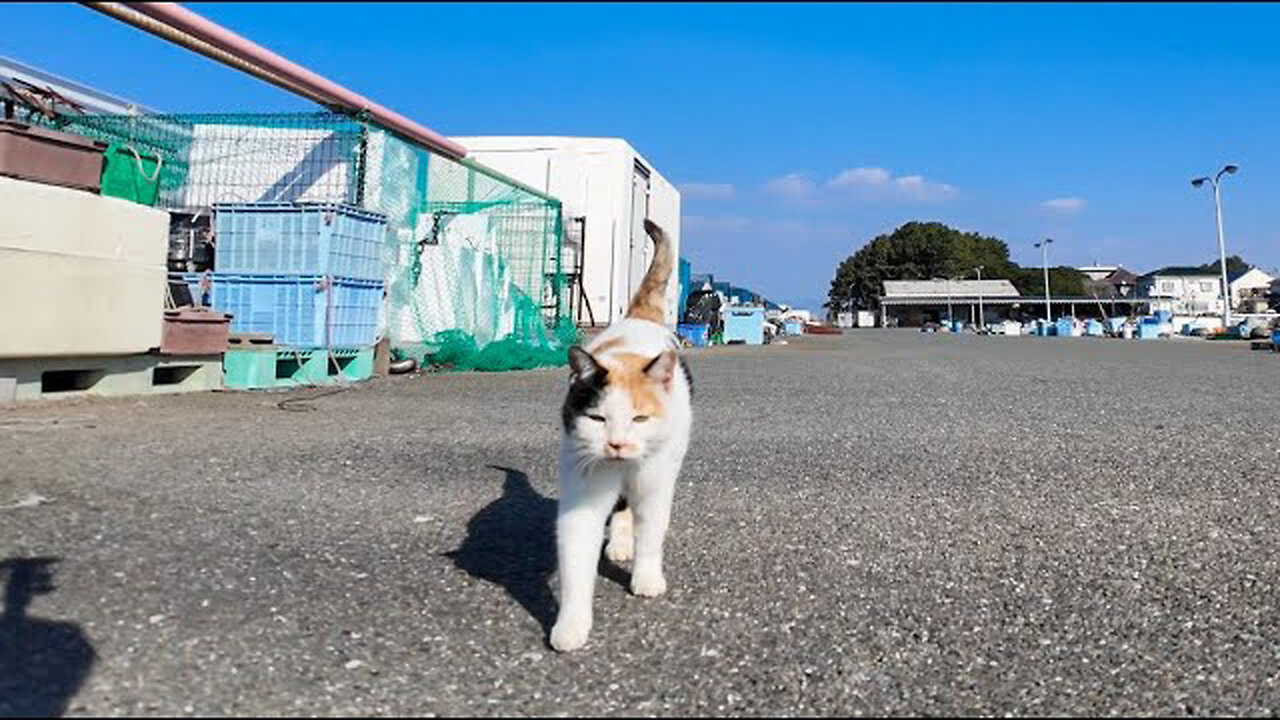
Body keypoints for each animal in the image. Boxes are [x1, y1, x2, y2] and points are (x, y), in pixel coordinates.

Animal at [547, 217, 691, 650]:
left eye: (640, 419)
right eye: (597, 419)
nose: (617, 445)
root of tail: (639, 318)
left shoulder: (655, 483)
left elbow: (653, 533)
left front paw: (647, 579)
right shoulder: (582, 486)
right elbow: (577, 555)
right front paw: (571, 626)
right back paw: (621, 542)